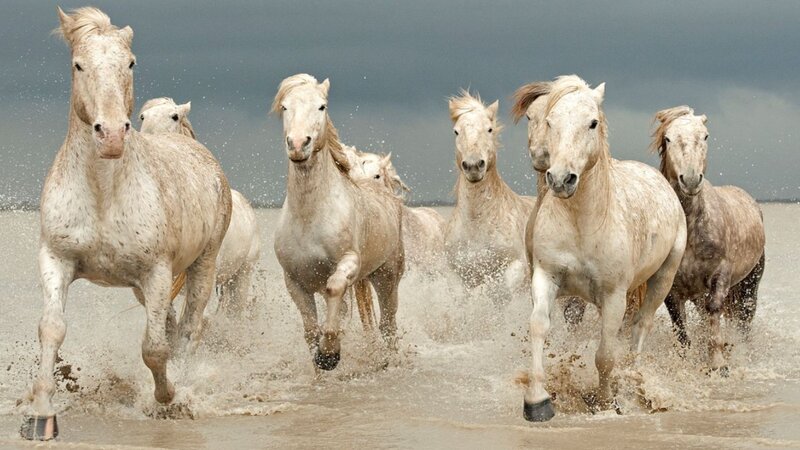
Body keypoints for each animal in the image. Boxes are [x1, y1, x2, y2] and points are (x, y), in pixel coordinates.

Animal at [24, 8, 232, 440]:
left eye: (131, 62)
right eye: (78, 64)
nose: (111, 136)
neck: (104, 190)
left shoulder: (157, 273)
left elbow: (154, 349)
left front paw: (168, 398)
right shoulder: (56, 259)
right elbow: (51, 328)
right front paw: (40, 414)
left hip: (203, 265)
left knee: (190, 329)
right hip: (142, 287)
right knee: (171, 323)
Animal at [272, 74, 404, 371]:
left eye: (322, 106)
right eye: (285, 107)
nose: (299, 144)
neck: (310, 216)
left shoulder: (348, 263)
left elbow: (335, 289)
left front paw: (330, 353)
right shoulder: (294, 280)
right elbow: (310, 331)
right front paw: (320, 361)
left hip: (387, 277)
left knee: (387, 325)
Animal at [444, 91, 536, 300]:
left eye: (489, 129)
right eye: (456, 131)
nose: (473, 166)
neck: (476, 223)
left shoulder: (514, 268)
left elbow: (498, 292)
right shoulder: (459, 278)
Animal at [652, 106, 766, 372]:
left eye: (705, 136)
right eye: (668, 138)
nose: (691, 179)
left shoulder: (721, 274)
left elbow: (714, 309)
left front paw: (718, 364)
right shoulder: (673, 288)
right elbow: (680, 327)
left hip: (749, 285)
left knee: (744, 321)